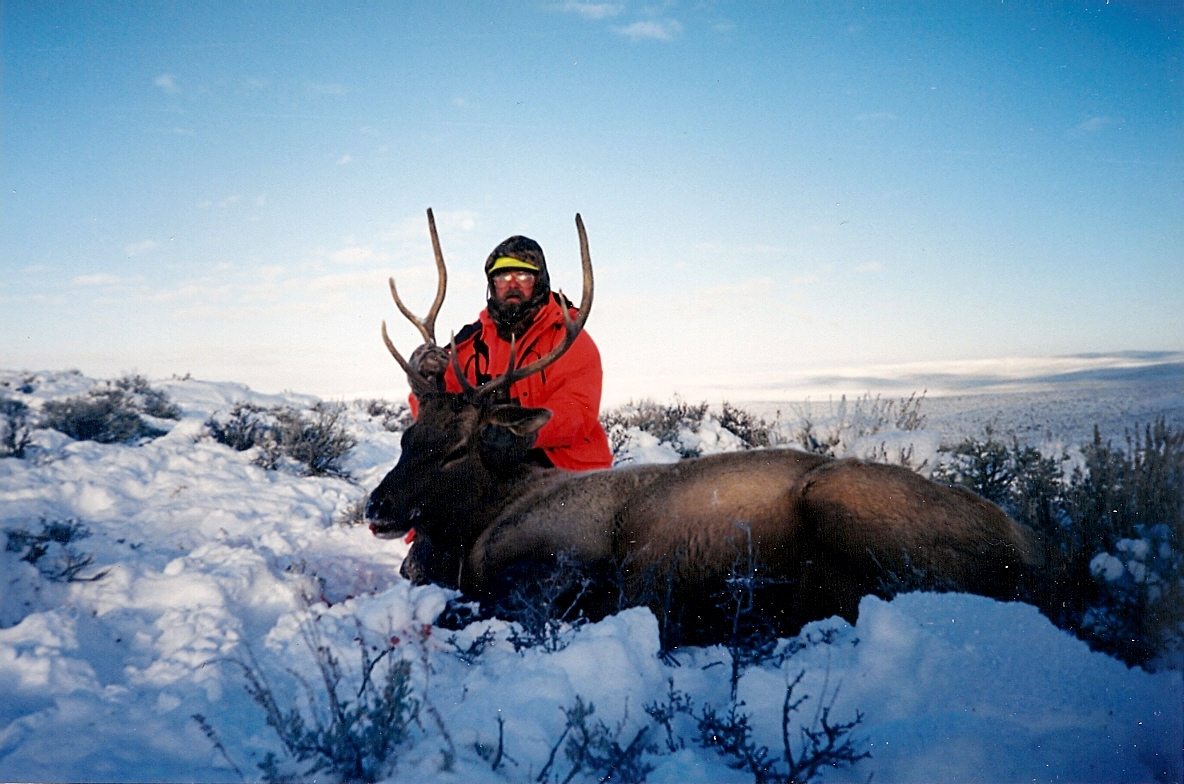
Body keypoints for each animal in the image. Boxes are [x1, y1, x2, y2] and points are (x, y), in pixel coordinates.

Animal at [367, 208, 1037, 644]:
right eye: (408, 437)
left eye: (457, 449)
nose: (378, 506)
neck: (481, 524)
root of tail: (1035, 551)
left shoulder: (564, 563)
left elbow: (476, 606)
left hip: (848, 505)